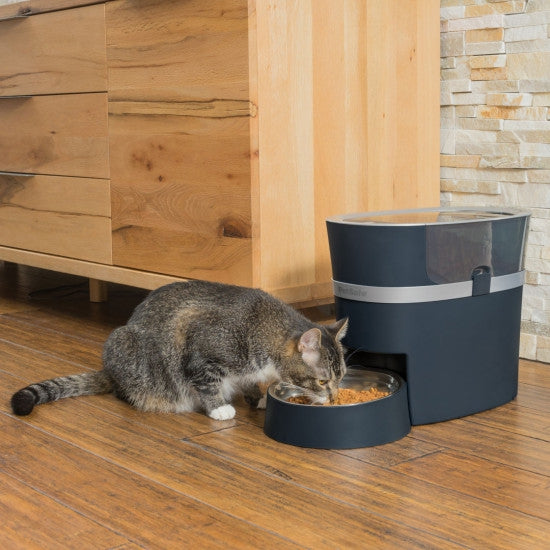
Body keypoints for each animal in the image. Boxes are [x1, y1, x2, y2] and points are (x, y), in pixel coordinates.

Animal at [10, 282, 350, 420]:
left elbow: (250, 381)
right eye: (323, 381)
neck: (262, 327)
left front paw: (260, 397)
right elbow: (208, 383)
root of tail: (109, 371)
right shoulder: (202, 352)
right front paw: (219, 408)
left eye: (341, 378)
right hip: (126, 347)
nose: (334, 397)